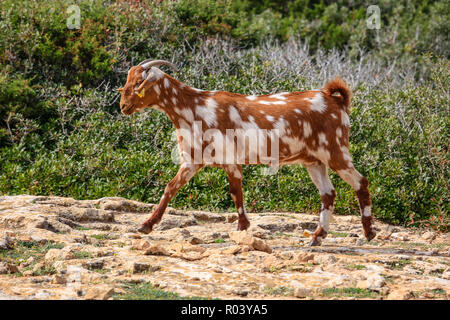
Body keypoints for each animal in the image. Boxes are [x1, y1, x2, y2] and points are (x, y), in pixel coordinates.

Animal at [117, 59, 376, 245]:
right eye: (126, 83)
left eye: (138, 84)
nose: (123, 107)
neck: (194, 107)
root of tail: (335, 100)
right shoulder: (192, 161)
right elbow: (171, 188)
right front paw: (146, 225)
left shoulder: (229, 157)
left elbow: (235, 192)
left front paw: (242, 228)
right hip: (314, 161)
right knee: (328, 194)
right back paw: (317, 237)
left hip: (336, 151)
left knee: (360, 182)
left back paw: (368, 232)